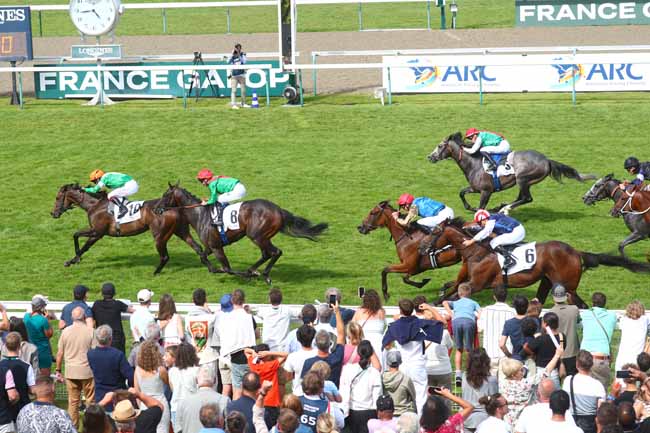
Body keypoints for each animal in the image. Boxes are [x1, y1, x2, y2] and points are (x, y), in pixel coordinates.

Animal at [52, 183, 215, 274]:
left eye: (57, 198)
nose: (53, 213)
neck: (95, 205)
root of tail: (173, 207)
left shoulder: (97, 232)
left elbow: (78, 238)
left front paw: (73, 259)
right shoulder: (97, 232)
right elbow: (79, 238)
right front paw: (75, 259)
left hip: (160, 236)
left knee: (165, 256)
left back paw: (155, 273)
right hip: (181, 231)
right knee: (198, 247)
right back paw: (212, 268)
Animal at [159, 184, 326, 286]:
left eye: (165, 195)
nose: (157, 208)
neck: (200, 215)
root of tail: (279, 210)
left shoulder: (217, 247)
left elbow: (227, 268)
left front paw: (247, 275)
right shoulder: (211, 246)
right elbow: (203, 258)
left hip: (257, 236)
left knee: (275, 252)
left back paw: (262, 274)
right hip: (262, 237)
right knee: (267, 254)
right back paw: (253, 270)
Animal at [426, 132, 592, 213]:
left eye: (440, 146)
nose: (430, 157)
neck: (473, 163)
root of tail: (546, 160)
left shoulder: (486, 191)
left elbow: (481, 207)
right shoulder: (475, 188)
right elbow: (461, 193)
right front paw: (470, 207)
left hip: (523, 178)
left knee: (527, 198)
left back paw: (504, 208)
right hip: (525, 182)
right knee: (522, 197)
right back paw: (501, 207)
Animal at [428, 218, 644, 306]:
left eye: (434, 232)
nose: (425, 249)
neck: (477, 251)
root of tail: (576, 252)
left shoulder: (477, 284)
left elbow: (455, 295)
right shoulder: (468, 281)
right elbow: (450, 290)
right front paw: (434, 301)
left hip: (568, 287)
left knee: (581, 306)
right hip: (548, 281)